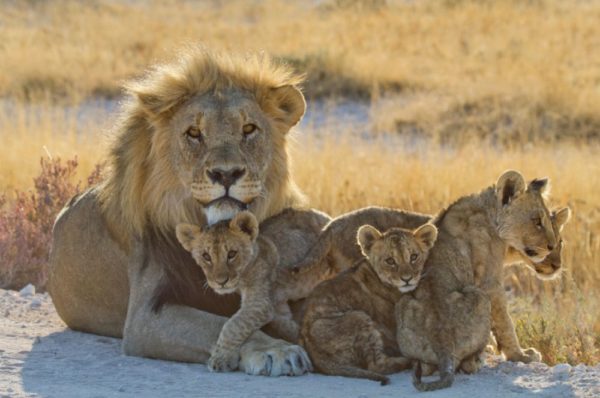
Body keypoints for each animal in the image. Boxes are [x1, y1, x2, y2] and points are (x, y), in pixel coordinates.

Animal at [47, 49, 316, 376]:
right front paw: (276, 350)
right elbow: (217, 324)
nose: (226, 174)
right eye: (194, 133)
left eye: (249, 129)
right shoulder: (144, 318)